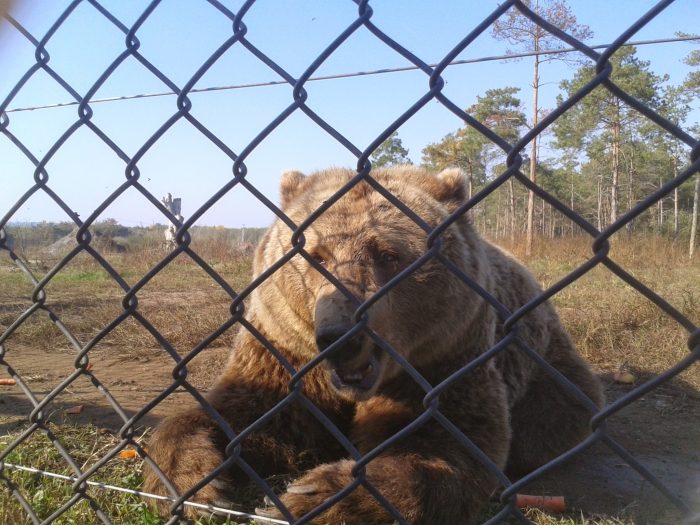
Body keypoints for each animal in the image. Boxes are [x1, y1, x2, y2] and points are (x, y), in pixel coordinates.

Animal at [143, 165, 604, 524]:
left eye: (389, 255)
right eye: (315, 255)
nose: (338, 337)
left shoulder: (447, 360)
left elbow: (448, 448)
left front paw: (315, 494)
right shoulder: (281, 354)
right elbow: (244, 414)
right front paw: (192, 480)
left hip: (544, 363)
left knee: (553, 416)